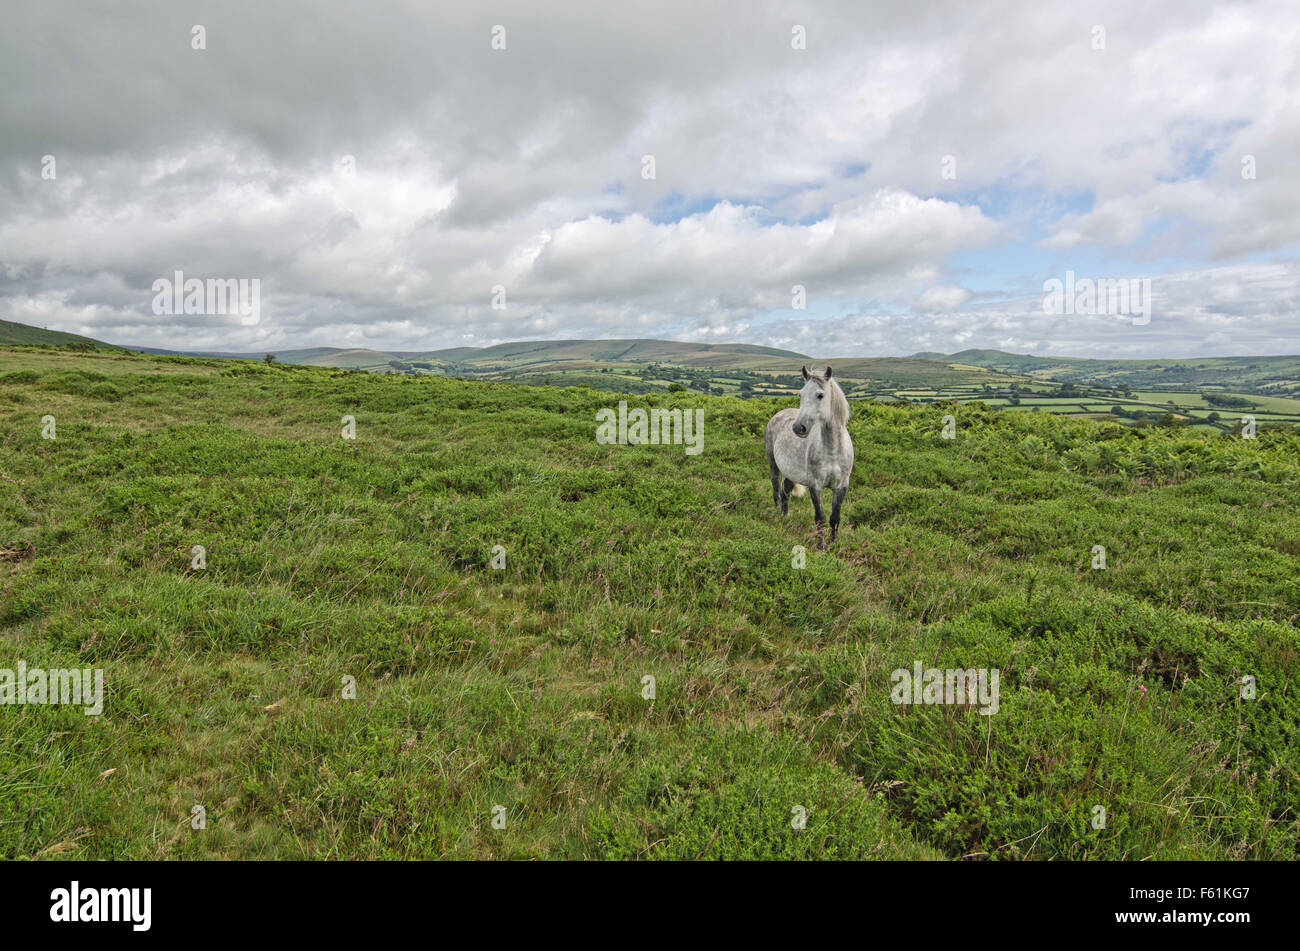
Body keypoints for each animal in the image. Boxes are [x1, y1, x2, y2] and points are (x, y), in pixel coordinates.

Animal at [765, 366, 854, 545]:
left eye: (820, 395)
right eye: (801, 394)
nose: (799, 427)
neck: (832, 450)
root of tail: (779, 414)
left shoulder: (842, 486)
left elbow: (835, 518)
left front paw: (833, 544)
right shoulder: (815, 485)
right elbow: (820, 518)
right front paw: (821, 546)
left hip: (791, 473)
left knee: (785, 492)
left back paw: (785, 517)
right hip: (774, 466)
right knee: (776, 491)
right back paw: (778, 517)